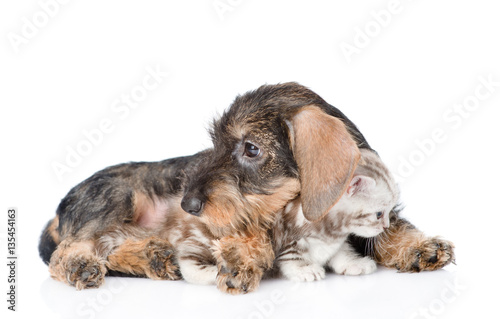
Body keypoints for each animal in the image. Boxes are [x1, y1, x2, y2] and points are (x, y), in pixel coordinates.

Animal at [39, 82, 454, 296]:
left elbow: (390, 228)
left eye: (251, 148)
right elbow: (250, 234)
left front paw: (420, 247)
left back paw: (154, 257)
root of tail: (59, 209)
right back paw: (82, 266)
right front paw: (242, 261)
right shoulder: (248, 223)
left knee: (110, 250)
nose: (188, 204)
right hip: (117, 199)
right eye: (216, 144)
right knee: (69, 252)